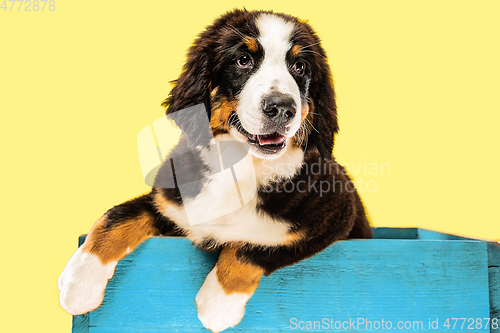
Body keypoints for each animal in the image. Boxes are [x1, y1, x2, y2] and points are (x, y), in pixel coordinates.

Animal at [58, 9, 372, 330]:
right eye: (243, 60)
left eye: (299, 67)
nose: (282, 107)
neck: (240, 167)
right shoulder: (168, 201)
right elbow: (118, 217)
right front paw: (79, 282)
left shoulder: (335, 215)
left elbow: (256, 246)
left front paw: (218, 302)